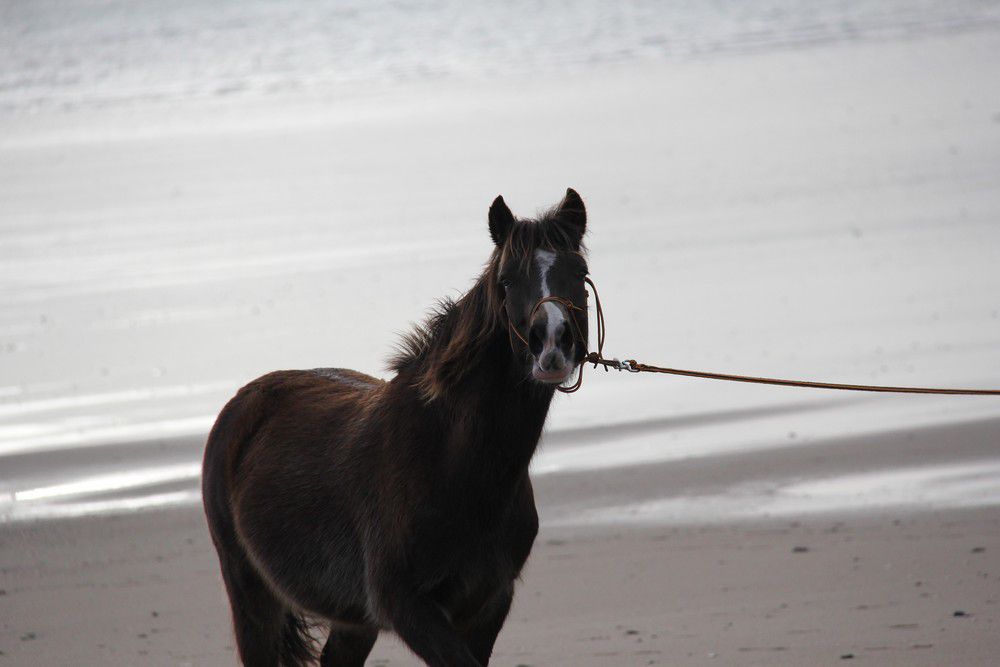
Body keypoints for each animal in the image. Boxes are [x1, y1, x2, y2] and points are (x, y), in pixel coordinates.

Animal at [202, 188, 590, 666]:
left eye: (580, 272)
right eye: (506, 281)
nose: (551, 343)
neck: (453, 466)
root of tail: (245, 401)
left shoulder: (488, 604)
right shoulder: (409, 607)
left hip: (352, 620)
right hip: (251, 596)